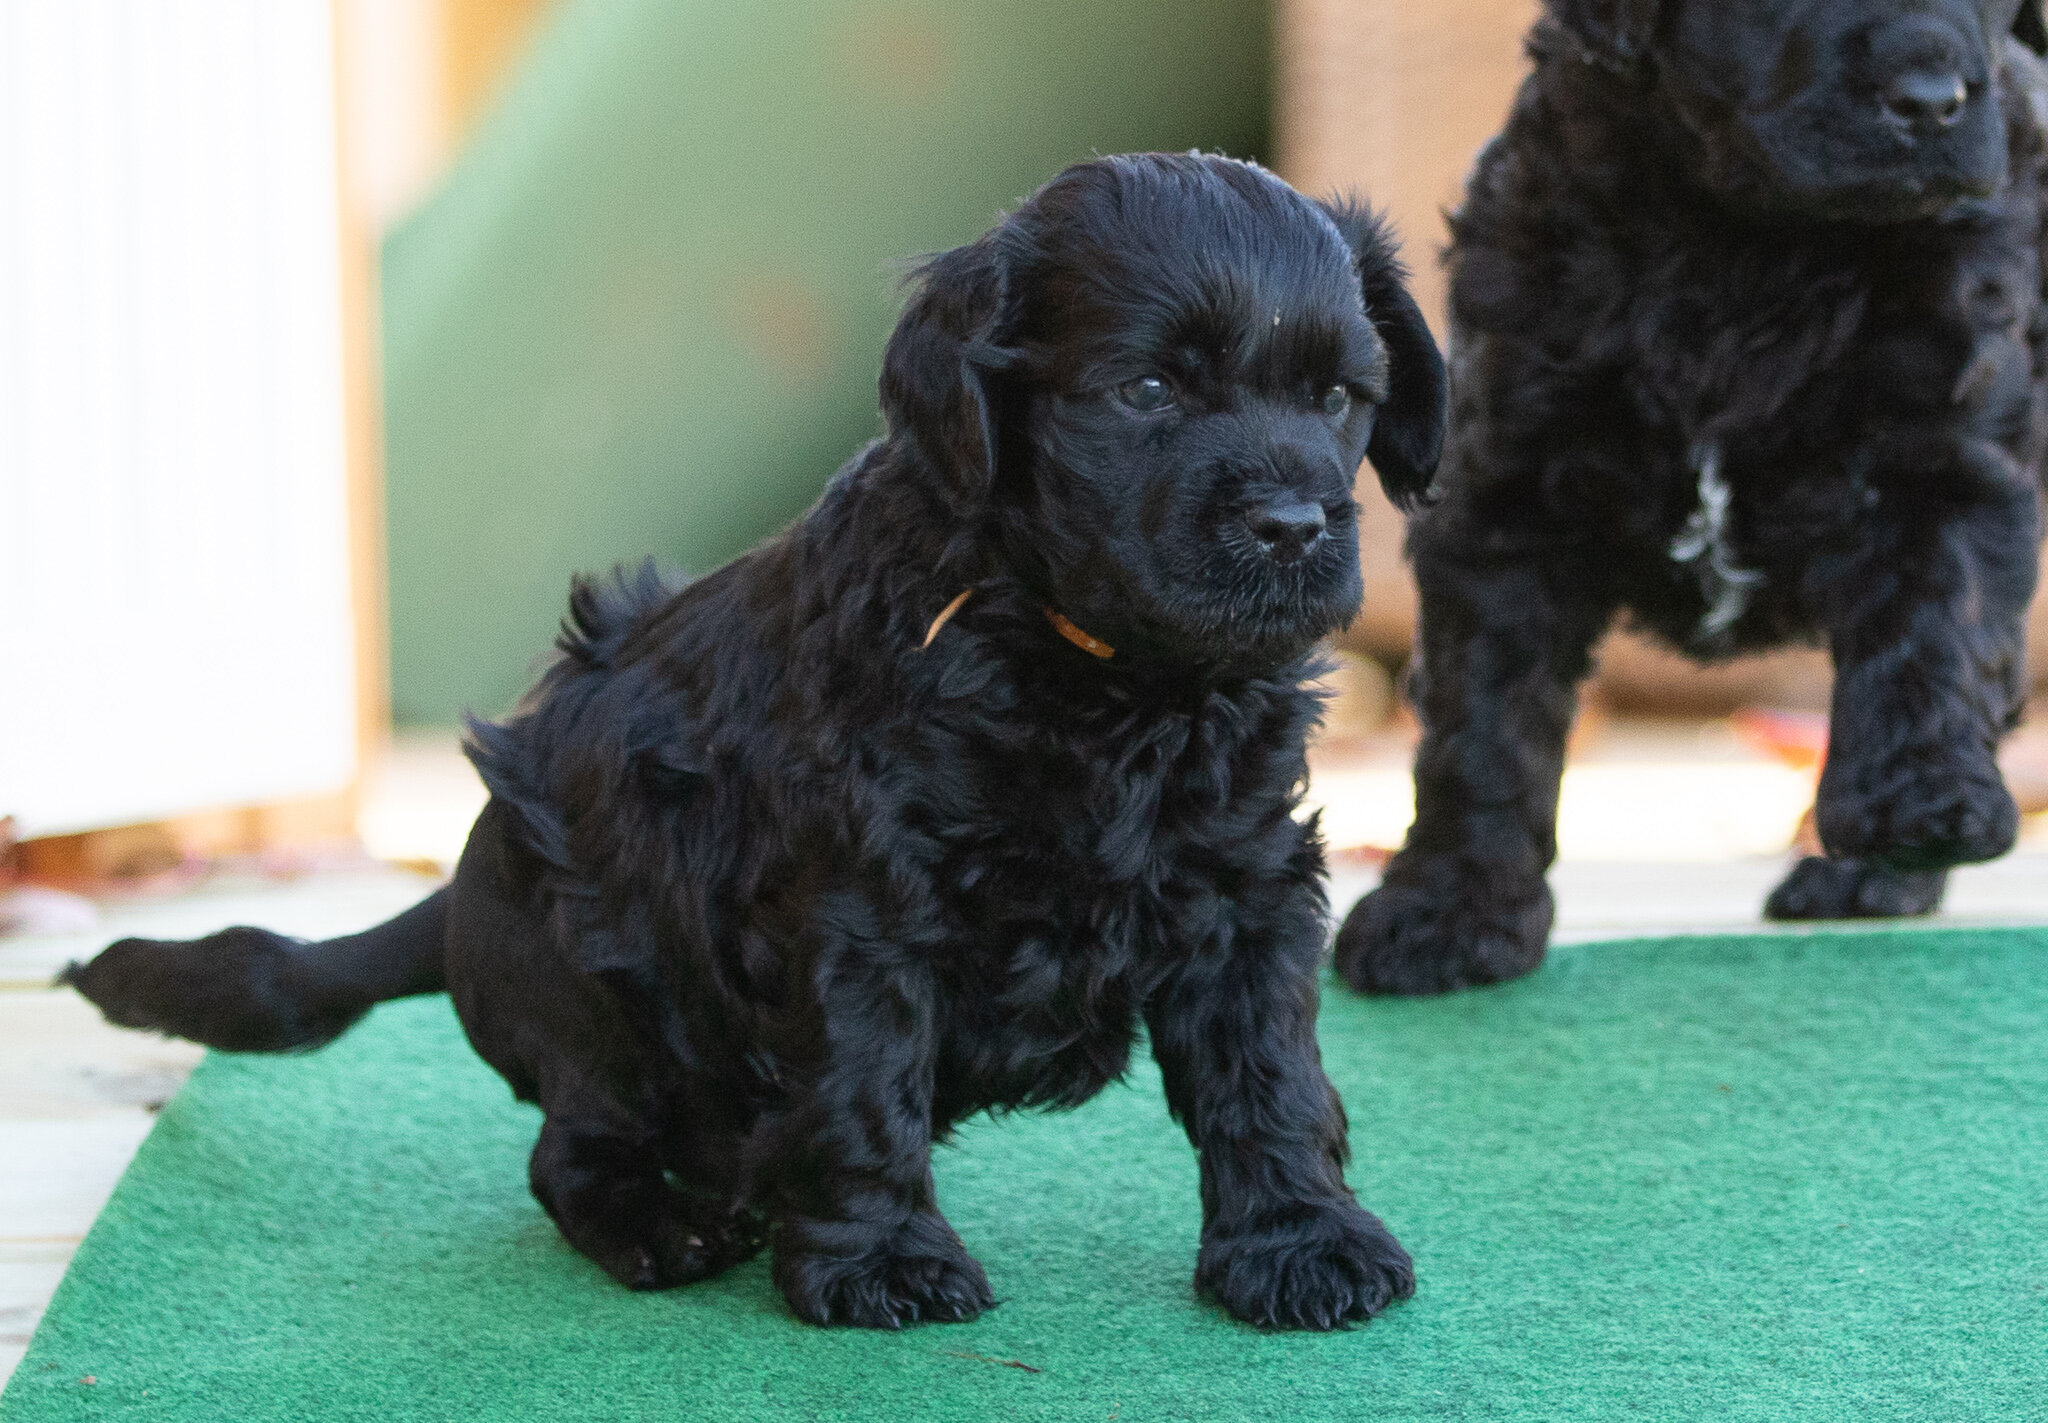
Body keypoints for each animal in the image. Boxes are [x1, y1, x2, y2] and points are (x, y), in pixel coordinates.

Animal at [64, 155, 1449, 1334]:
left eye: (1337, 397)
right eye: (1147, 390)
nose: (1291, 524)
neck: (1097, 668)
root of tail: (458, 888)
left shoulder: (1245, 883)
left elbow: (1266, 1073)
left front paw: (1298, 1243)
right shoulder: (859, 900)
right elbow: (863, 1081)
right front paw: (879, 1261)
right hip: (598, 998)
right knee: (571, 1147)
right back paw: (659, 1225)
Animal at [1335, 0, 2048, 1003]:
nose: (1933, 100)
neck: (1749, 240)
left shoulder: (1939, 450)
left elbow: (1930, 636)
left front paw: (1920, 805)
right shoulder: (1508, 491)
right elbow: (1483, 720)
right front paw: (1450, 908)